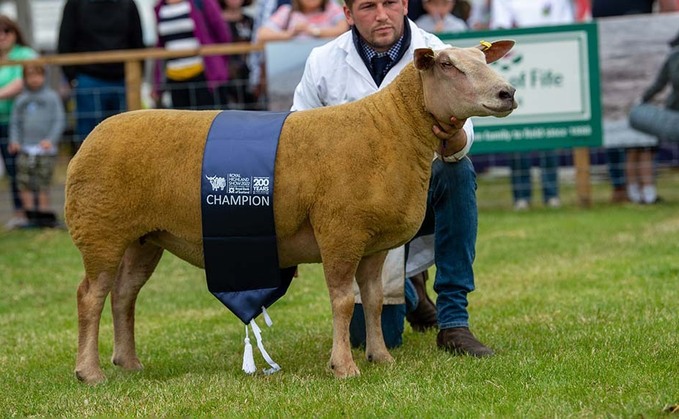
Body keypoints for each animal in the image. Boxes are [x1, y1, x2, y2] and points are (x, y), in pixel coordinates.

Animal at [66, 41, 516, 386]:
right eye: (447, 65)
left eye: (483, 58)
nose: (507, 93)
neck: (391, 129)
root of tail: (90, 136)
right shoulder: (340, 230)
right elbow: (342, 302)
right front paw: (344, 367)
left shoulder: (372, 244)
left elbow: (371, 301)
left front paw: (381, 357)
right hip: (100, 230)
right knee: (90, 296)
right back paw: (90, 373)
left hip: (143, 238)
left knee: (124, 295)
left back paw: (129, 363)